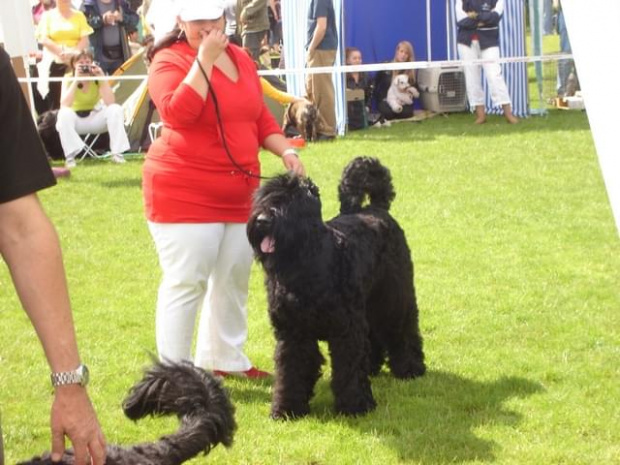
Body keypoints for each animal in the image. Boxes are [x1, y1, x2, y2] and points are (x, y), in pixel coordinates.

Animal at [247, 155, 426, 416]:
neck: (305, 263)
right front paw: (287, 408)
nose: (262, 220)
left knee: (403, 329)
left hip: (394, 298)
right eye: (263, 197)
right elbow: (291, 370)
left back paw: (410, 368)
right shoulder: (293, 332)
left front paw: (355, 405)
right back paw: (372, 366)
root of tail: (376, 209)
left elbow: (349, 367)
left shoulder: (346, 329)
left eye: (292, 200)